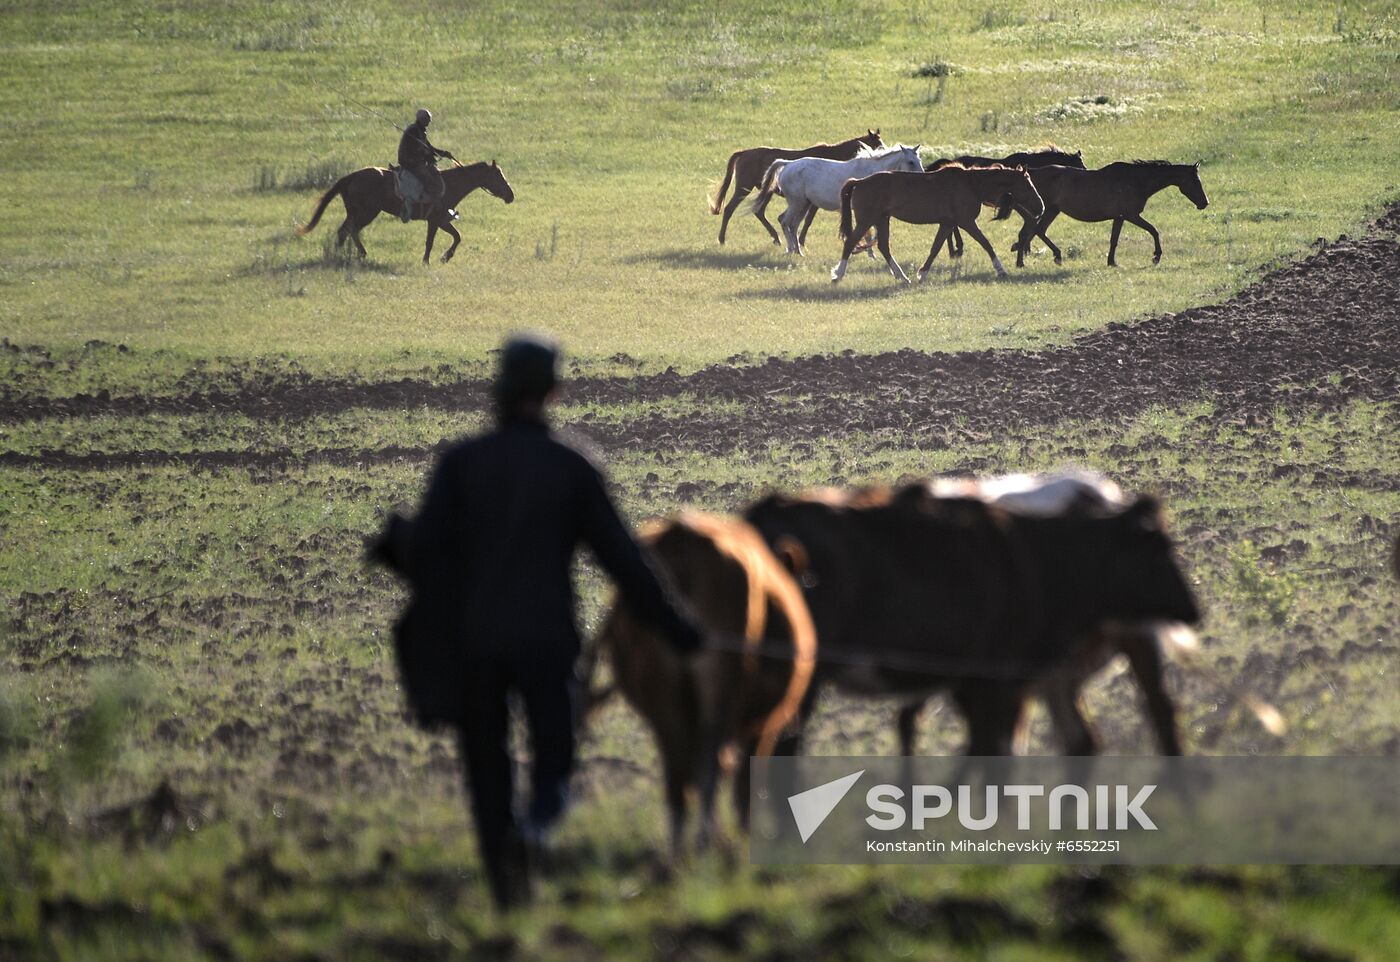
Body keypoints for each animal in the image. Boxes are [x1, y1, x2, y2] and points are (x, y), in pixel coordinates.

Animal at [299, 159, 515, 263]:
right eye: (498, 175)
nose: (511, 196)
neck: (449, 184)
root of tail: (349, 177)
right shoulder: (437, 220)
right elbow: (442, 240)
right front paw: (437, 259)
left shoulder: (438, 221)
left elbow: (451, 237)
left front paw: (439, 258)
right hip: (366, 213)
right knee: (349, 230)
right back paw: (357, 254)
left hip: (358, 213)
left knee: (345, 231)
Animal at [596, 515, 817, 856]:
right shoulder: (764, 726)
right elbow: (745, 780)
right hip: (719, 692)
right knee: (710, 766)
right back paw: (709, 843)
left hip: (665, 702)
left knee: (678, 775)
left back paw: (679, 854)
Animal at [705, 128, 879, 245]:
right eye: (878, 144)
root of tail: (744, 153)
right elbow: (808, 220)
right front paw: (800, 241)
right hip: (744, 187)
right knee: (730, 209)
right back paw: (722, 239)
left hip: (766, 191)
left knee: (759, 212)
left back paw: (776, 238)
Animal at [750, 144, 924, 256]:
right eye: (911, 162)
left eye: (920, 160)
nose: (922, 177)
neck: (870, 174)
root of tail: (788, 164)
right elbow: (867, 232)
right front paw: (869, 253)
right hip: (797, 203)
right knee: (786, 221)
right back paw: (793, 250)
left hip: (803, 204)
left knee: (792, 225)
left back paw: (797, 251)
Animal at [1013, 159, 1209, 267]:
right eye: (1194, 181)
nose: (1205, 203)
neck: (1136, 180)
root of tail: (1030, 174)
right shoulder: (1131, 215)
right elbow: (1154, 230)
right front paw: (1156, 256)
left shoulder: (1120, 217)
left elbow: (1114, 240)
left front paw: (1112, 262)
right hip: (1045, 211)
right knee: (1029, 233)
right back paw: (1024, 261)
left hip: (1052, 210)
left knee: (1038, 231)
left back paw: (1053, 256)